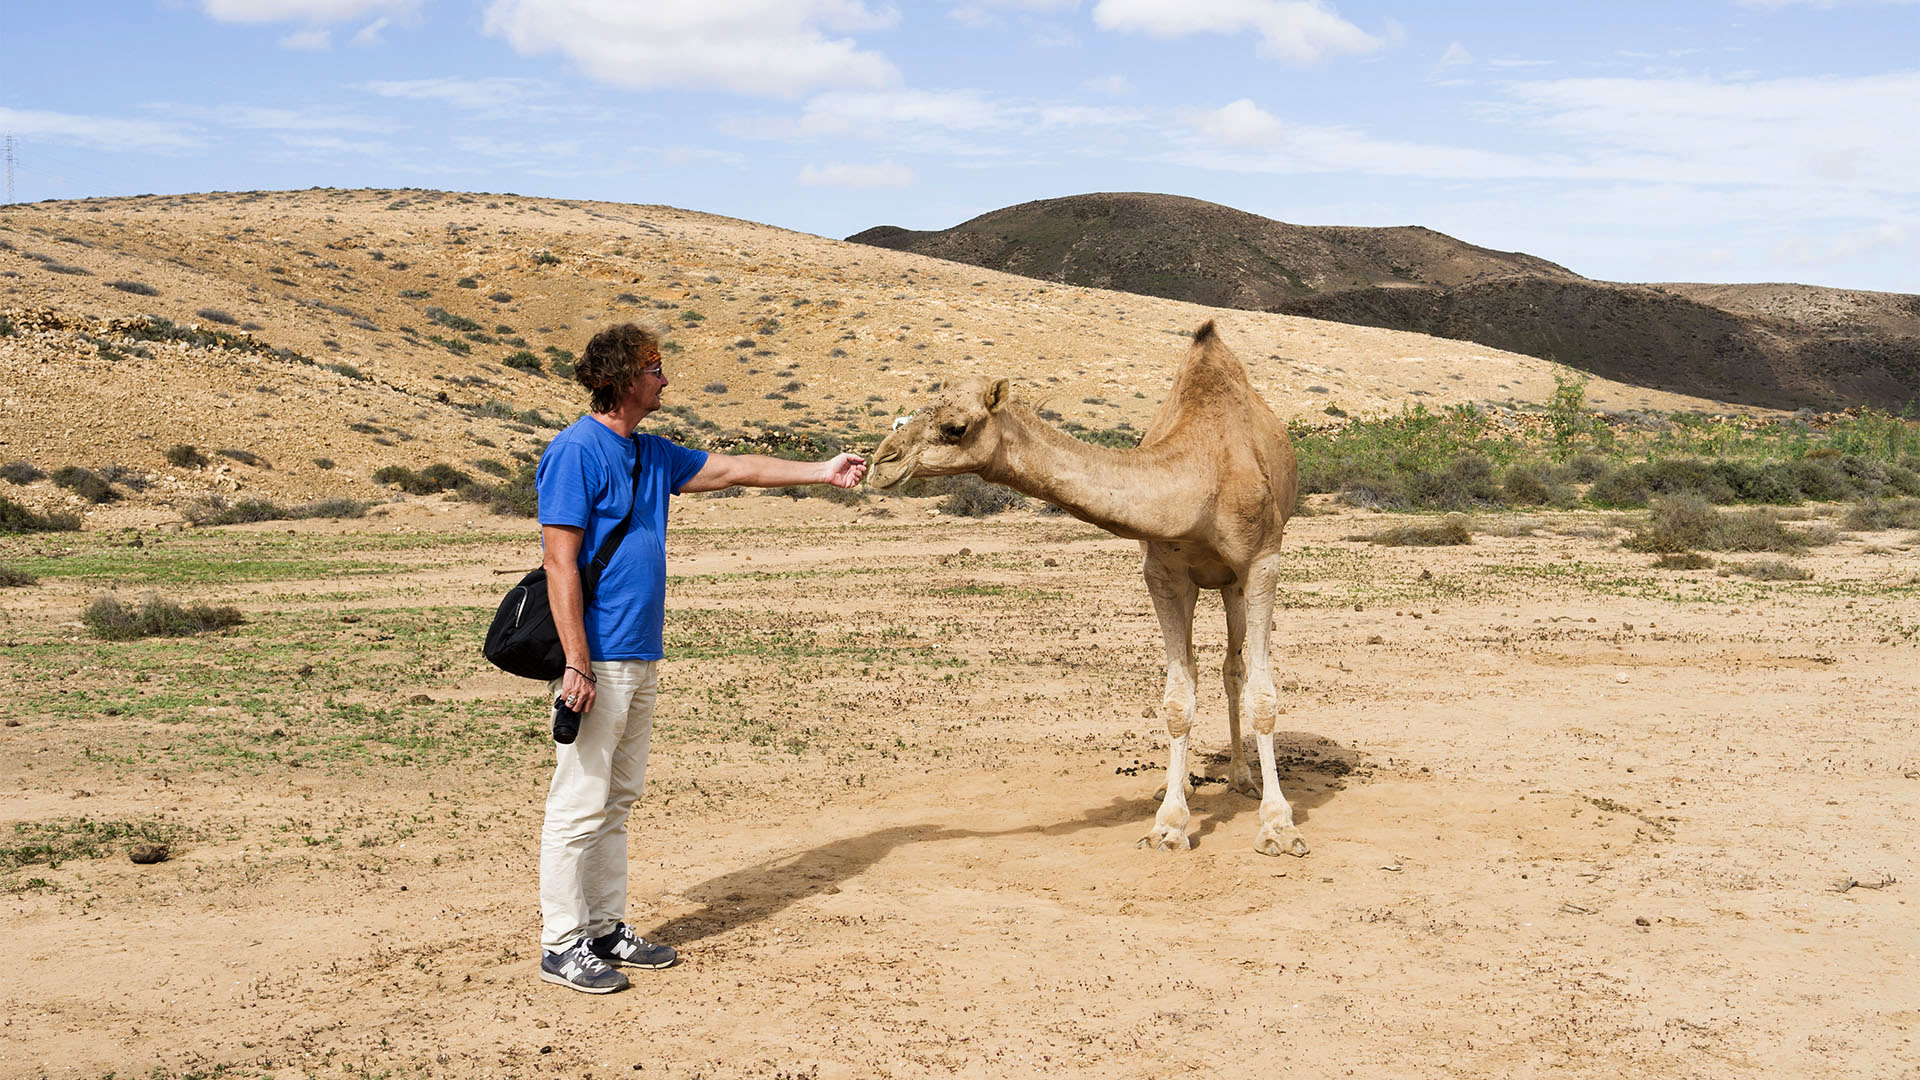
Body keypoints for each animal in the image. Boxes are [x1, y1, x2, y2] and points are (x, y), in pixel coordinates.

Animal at [867, 319, 1305, 857]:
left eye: (956, 427)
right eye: (903, 417)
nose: (881, 462)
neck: (1202, 479)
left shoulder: (1262, 562)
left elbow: (1263, 697)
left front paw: (1279, 826)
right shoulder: (1161, 573)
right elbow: (1177, 699)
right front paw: (1168, 825)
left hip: (1231, 584)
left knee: (1234, 668)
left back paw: (1244, 778)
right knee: (1202, 670)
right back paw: (1174, 782)